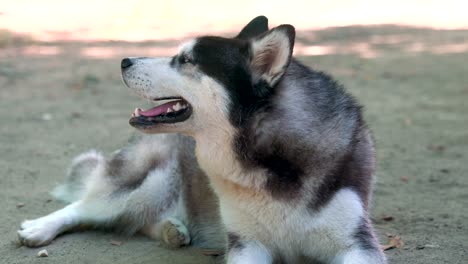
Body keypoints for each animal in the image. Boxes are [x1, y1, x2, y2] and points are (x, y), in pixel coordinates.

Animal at [18, 17, 386, 264]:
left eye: (185, 60)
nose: (124, 60)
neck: (268, 160)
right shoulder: (246, 244)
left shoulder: (358, 244)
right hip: (147, 185)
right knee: (85, 206)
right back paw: (39, 228)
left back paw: (173, 229)